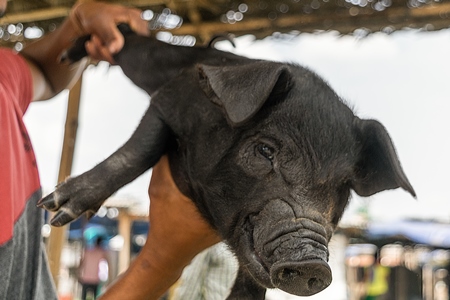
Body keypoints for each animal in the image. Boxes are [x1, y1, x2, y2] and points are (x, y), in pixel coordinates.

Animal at [38, 27, 414, 298]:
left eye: (343, 187)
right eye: (265, 150)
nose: (312, 262)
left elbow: (252, 276)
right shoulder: (170, 101)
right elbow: (138, 151)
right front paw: (55, 208)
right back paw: (68, 54)